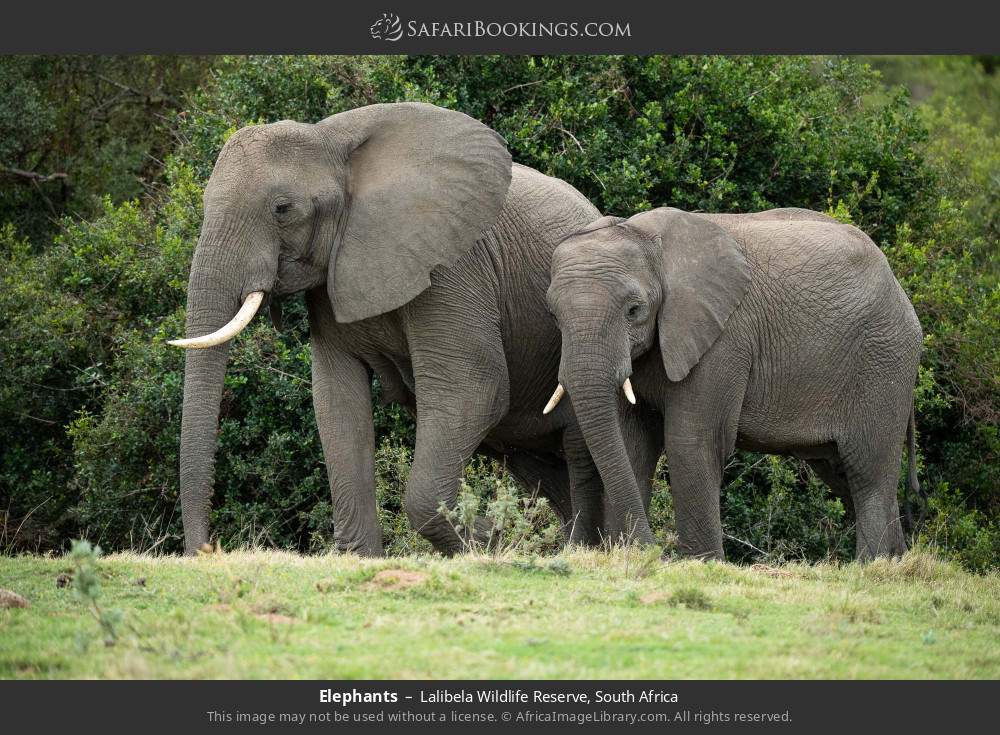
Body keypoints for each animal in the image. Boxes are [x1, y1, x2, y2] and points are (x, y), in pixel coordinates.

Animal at [167, 101, 662, 556]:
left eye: (282, 209)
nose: (203, 552)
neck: (334, 144)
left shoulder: (454, 263)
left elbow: (473, 386)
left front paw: (487, 538)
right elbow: (336, 401)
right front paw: (361, 559)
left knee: (575, 452)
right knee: (535, 465)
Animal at [543, 206, 923, 560]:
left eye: (635, 311)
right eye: (554, 315)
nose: (653, 550)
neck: (645, 237)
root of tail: (899, 289)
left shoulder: (724, 339)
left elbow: (691, 442)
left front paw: (701, 564)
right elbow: (633, 441)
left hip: (884, 359)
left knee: (867, 472)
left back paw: (873, 567)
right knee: (845, 474)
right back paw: (898, 564)